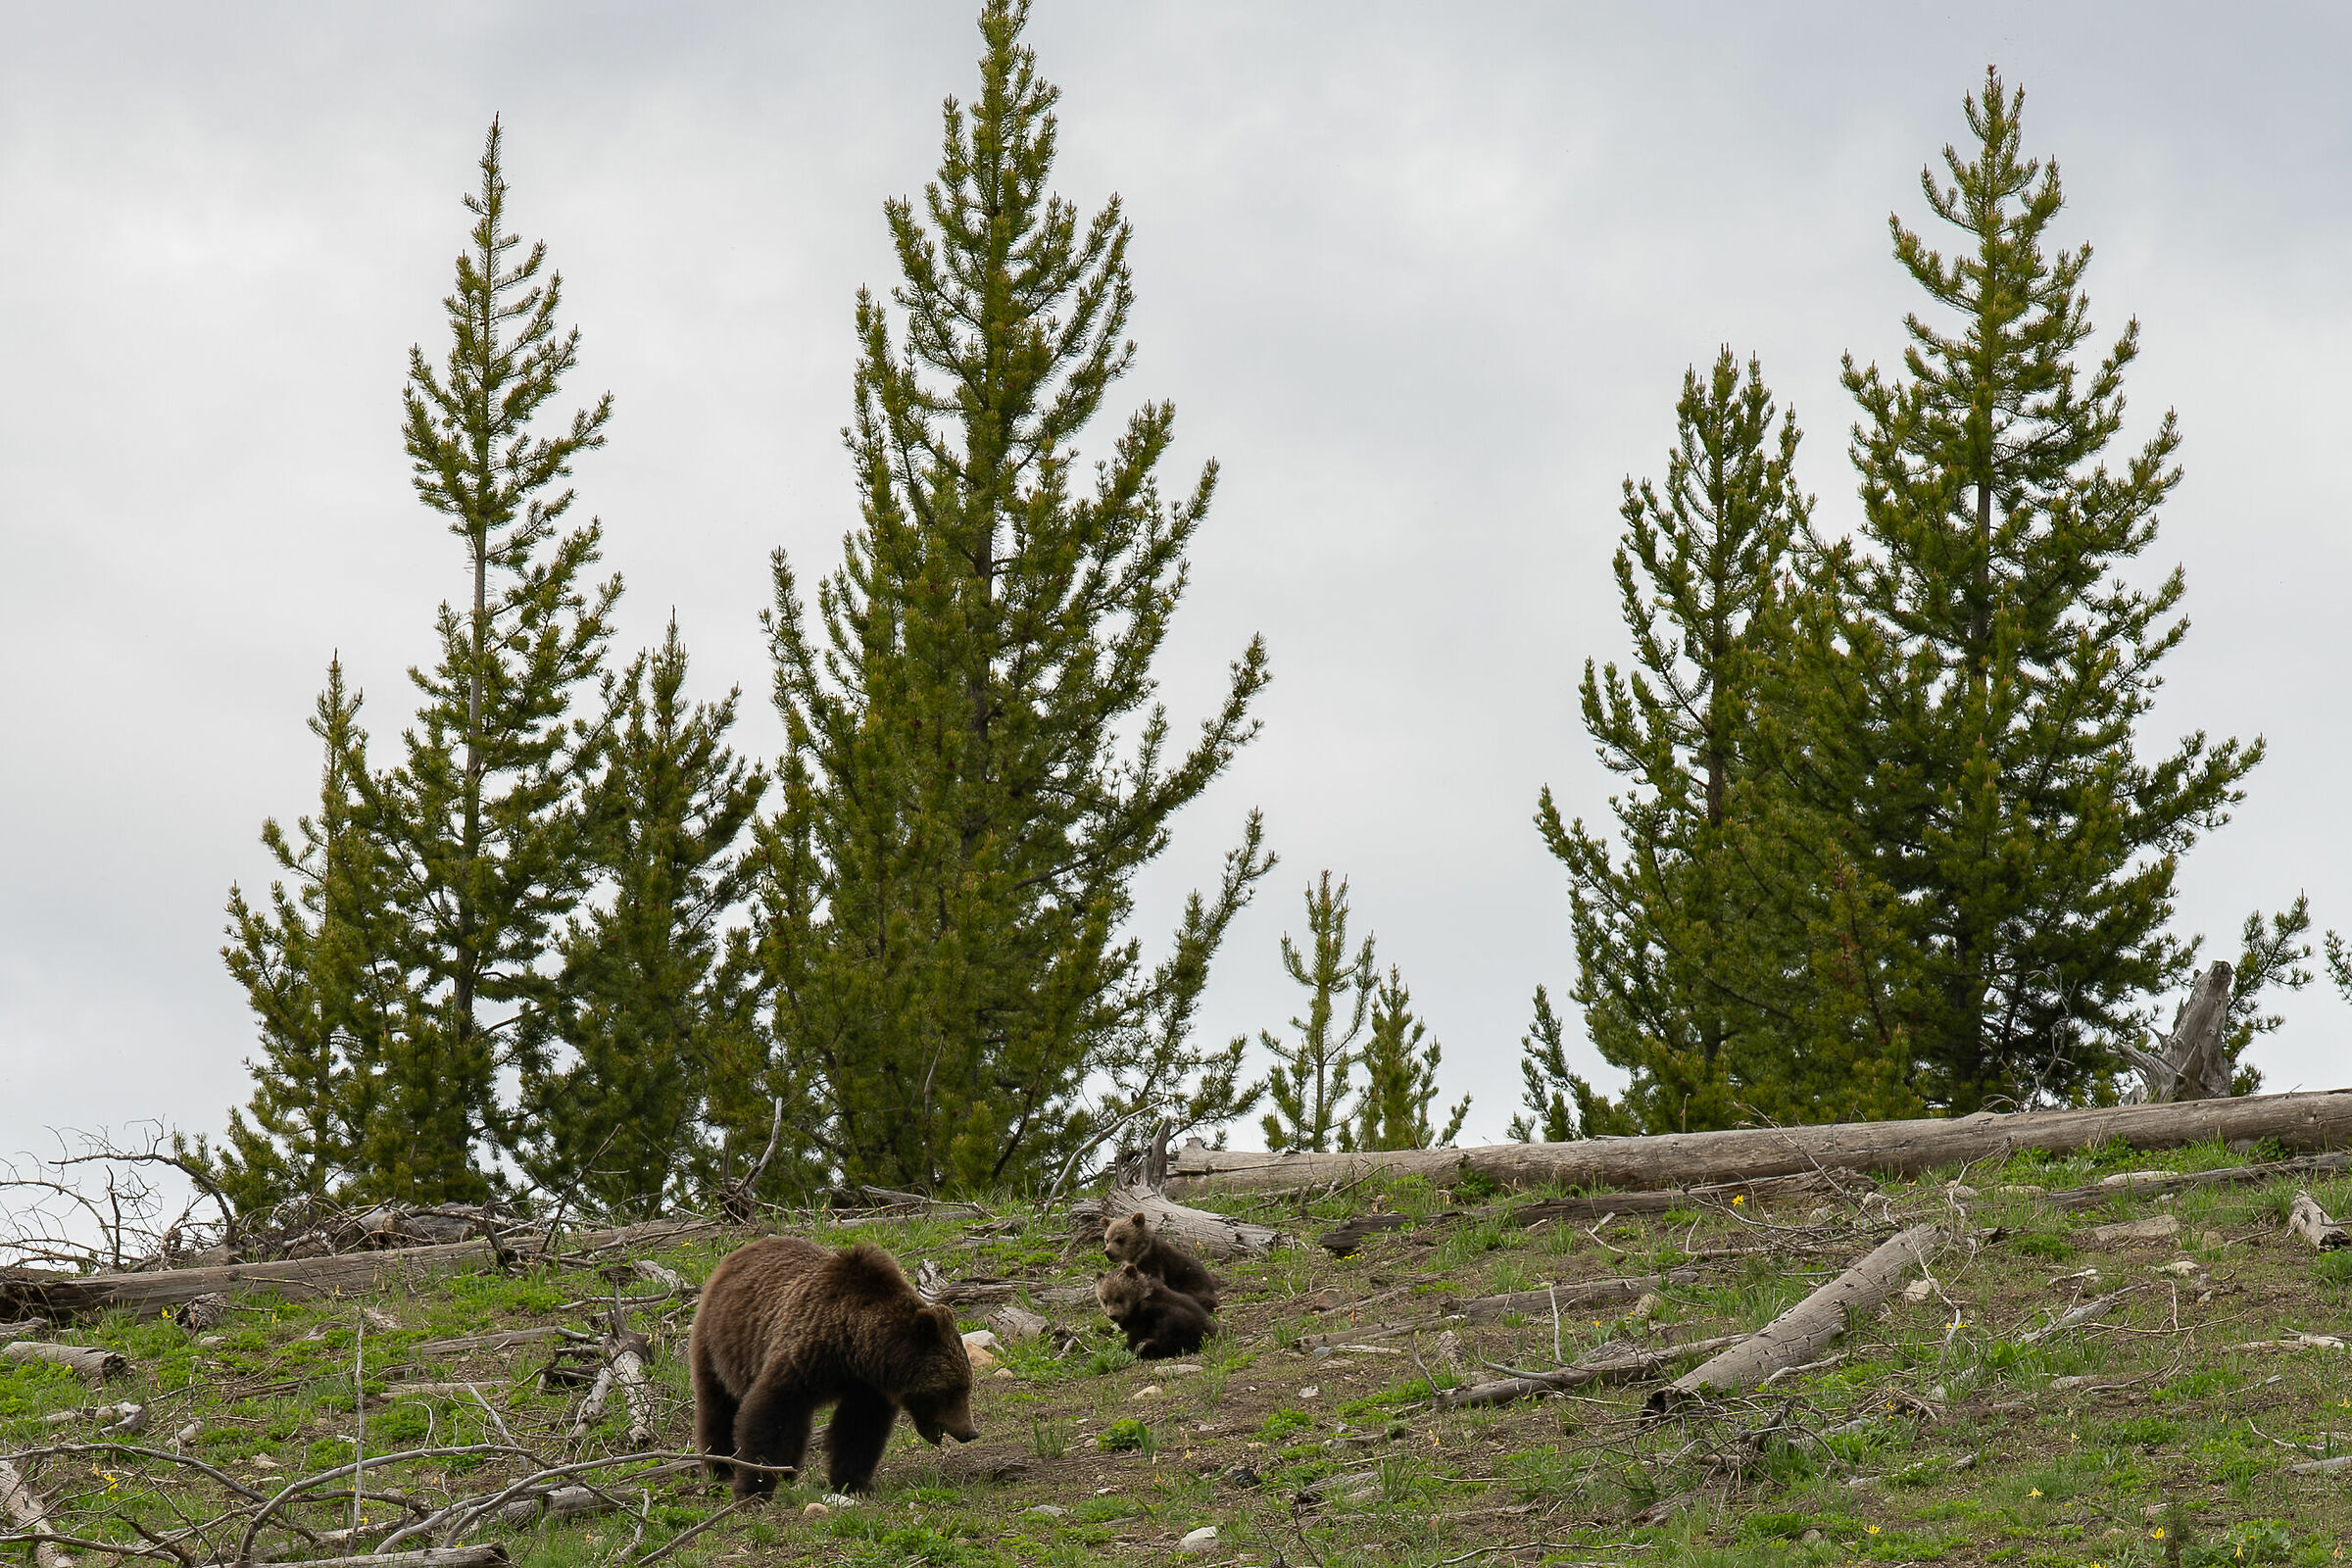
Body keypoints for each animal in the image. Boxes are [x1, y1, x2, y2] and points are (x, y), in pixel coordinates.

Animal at [688, 1236, 977, 1497]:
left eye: (965, 1386)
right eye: (951, 1389)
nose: (969, 1432)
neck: (855, 1348)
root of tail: (739, 1252)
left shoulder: (866, 1386)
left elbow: (858, 1428)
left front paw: (852, 1483)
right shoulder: (804, 1356)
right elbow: (768, 1413)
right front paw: (753, 1487)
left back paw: (787, 1471)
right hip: (721, 1342)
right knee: (718, 1406)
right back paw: (721, 1466)